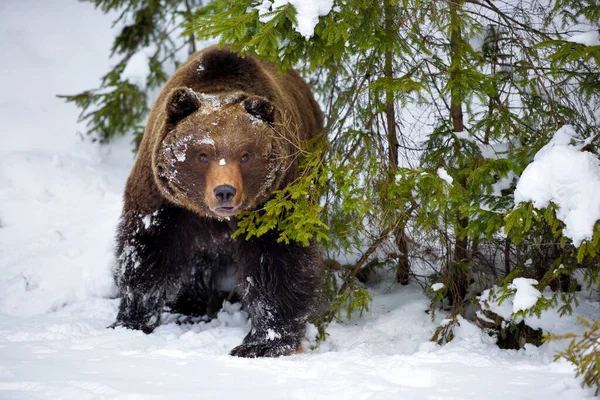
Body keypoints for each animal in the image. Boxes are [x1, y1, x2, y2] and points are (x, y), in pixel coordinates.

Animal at [108, 45, 324, 358]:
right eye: (202, 154)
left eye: (245, 154)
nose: (224, 192)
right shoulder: (166, 202)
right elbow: (146, 252)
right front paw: (130, 321)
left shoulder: (274, 200)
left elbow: (278, 262)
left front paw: (262, 342)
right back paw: (189, 307)